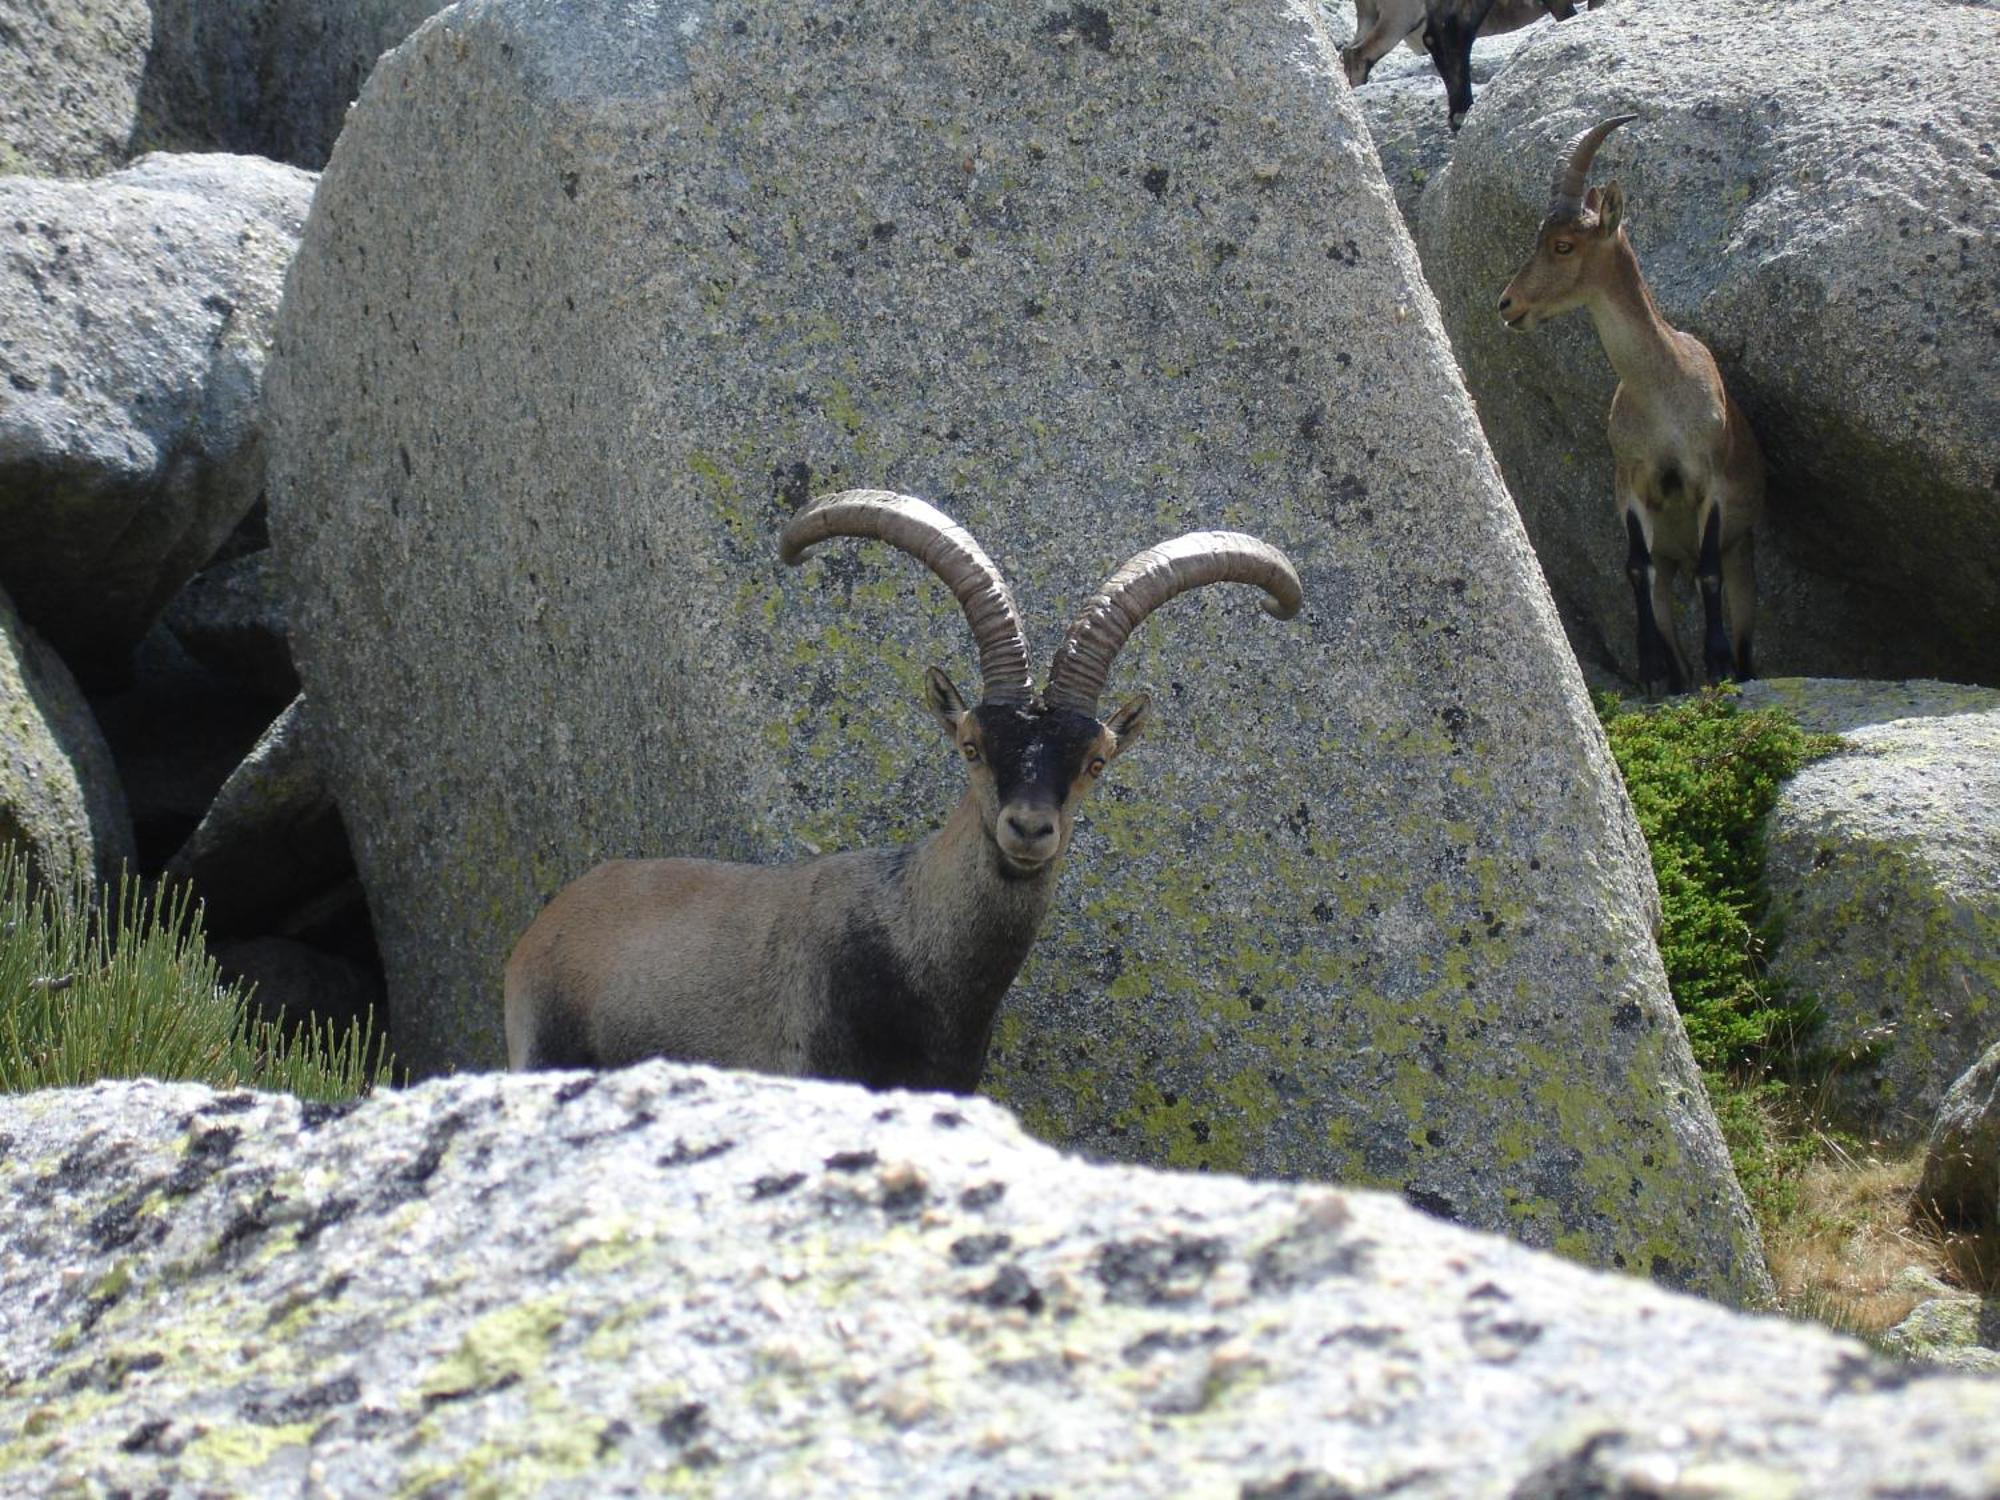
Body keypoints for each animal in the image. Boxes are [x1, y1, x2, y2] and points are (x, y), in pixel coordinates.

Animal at [1504, 116, 1768, 692]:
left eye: (1563, 245)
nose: (1507, 304)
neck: (1663, 393)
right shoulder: (1633, 481)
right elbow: (1635, 568)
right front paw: (1649, 674)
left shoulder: (1709, 479)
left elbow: (1708, 570)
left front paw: (1718, 666)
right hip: (1672, 565)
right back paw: (1678, 677)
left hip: (1744, 558)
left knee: (1740, 620)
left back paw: (1729, 667)